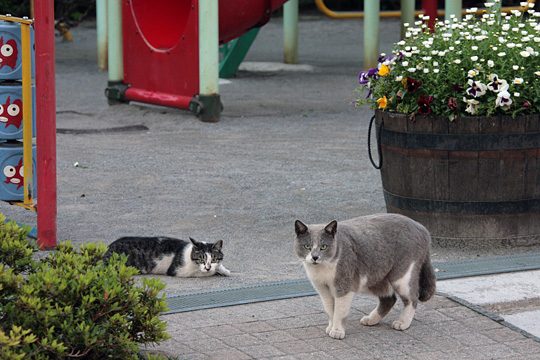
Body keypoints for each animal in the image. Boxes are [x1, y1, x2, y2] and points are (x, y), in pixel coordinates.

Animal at [294, 214, 436, 340]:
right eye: (307, 246)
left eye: (323, 247)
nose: (315, 257)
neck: (322, 270)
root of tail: (422, 228)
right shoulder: (323, 290)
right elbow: (330, 310)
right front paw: (330, 327)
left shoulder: (343, 287)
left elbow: (339, 311)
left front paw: (337, 331)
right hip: (376, 278)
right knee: (389, 299)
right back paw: (371, 319)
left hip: (402, 277)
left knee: (412, 298)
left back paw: (402, 323)